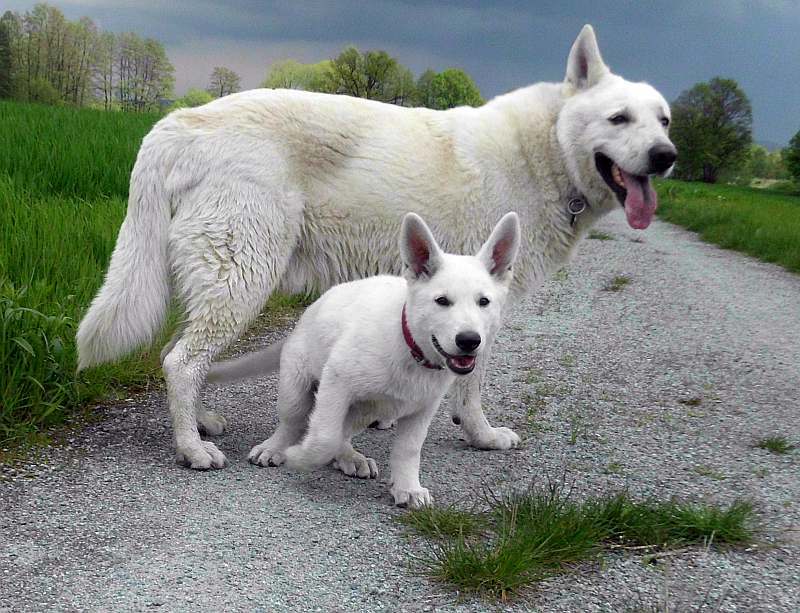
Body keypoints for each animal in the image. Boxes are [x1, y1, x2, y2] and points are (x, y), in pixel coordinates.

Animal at [76, 23, 676, 468]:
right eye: (618, 118)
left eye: (664, 120)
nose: (666, 155)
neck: (545, 151)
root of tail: (177, 123)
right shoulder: (481, 314)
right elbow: (472, 386)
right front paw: (481, 435)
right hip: (242, 279)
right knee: (181, 361)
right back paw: (192, 449)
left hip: (215, 283)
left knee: (176, 353)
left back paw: (201, 424)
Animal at [206, 212, 520, 506]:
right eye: (442, 301)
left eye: (484, 302)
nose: (469, 341)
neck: (409, 349)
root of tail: (303, 320)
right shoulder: (336, 383)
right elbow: (324, 436)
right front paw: (301, 456)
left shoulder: (423, 408)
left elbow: (408, 449)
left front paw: (407, 487)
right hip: (296, 385)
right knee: (294, 421)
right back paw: (276, 448)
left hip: (366, 409)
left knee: (344, 433)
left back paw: (350, 457)